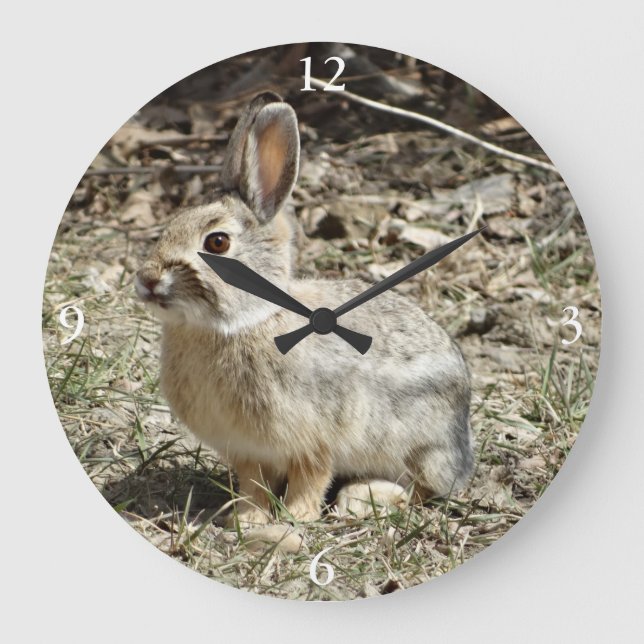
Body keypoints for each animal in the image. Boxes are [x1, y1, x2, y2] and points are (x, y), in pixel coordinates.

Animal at [135, 91, 473, 526]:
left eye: (217, 243)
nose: (147, 279)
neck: (242, 323)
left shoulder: (316, 440)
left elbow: (312, 477)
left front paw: (297, 517)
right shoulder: (247, 450)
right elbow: (254, 485)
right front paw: (246, 519)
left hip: (420, 445)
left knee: (424, 489)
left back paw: (370, 496)